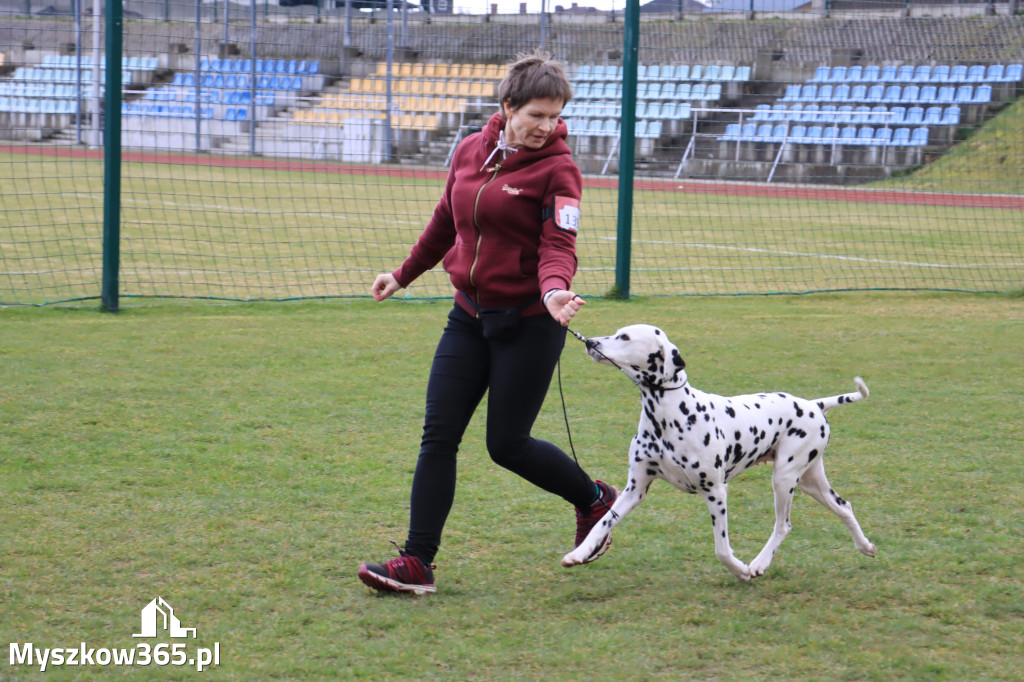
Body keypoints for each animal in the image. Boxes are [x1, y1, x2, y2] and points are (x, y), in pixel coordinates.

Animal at [565, 323, 876, 577]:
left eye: (625, 337)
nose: (590, 342)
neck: (669, 415)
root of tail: (813, 404)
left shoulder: (715, 492)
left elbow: (722, 550)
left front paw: (741, 571)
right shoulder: (635, 490)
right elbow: (603, 522)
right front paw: (578, 553)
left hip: (784, 478)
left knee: (783, 525)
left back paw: (759, 564)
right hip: (811, 482)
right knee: (844, 507)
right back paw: (866, 547)